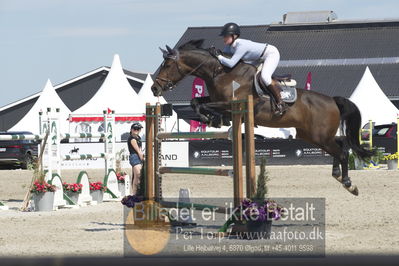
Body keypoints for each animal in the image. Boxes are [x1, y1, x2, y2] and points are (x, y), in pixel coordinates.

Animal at [151, 39, 376, 195]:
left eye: (167, 66)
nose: (154, 89)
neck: (220, 72)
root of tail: (332, 100)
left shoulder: (230, 104)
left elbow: (205, 105)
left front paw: (211, 119)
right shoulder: (217, 101)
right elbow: (196, 102)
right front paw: (209, 119)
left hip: (319, 136)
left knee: (342, 152)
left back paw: (348, 184)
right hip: (312, 136)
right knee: (341, 144)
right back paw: (338, 175)